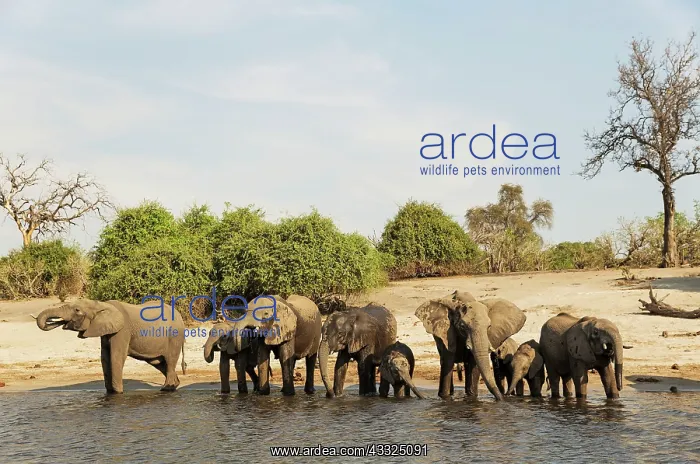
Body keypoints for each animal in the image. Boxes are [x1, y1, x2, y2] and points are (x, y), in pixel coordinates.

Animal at [35, 299, 186, 393]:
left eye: (77, 310)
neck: (100, 305)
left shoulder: (122, 331)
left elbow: (116, 357)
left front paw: (118, 393)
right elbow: (105, 358)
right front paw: (110, 393)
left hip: (174, 336)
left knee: (170, 360)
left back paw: (166, 389)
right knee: (158, 363)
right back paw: (174, 385)